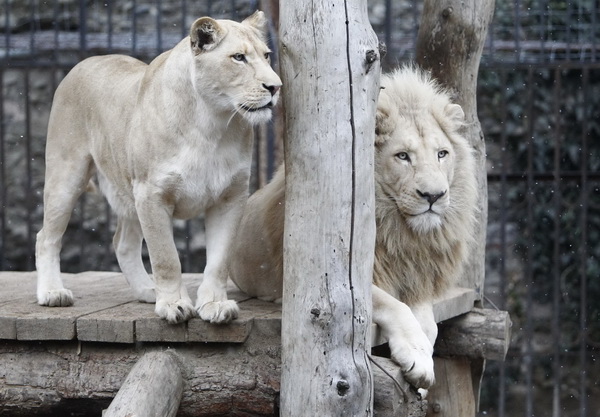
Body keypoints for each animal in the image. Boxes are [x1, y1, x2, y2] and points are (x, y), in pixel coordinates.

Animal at [35, 9, 282, 324]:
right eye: (238, 57)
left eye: (266, 55)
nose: (275, 87)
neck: (211, 124)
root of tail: (85, 62)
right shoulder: (152, 194)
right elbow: (166, 257)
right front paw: (174, 304)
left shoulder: (230, 197)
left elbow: (219, 260)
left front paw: (214, 305)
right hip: (67, 174)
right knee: (47, 237)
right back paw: (52, 292)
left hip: (127, 191)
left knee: (123, 243)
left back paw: (147, 290)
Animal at [230, 66, 478, 388]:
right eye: (402, 156)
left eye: (442, 154)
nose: (434, 196)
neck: (401, 232)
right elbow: (396, 307)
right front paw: (418, 358)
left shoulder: (418, 280)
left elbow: (429, 322)